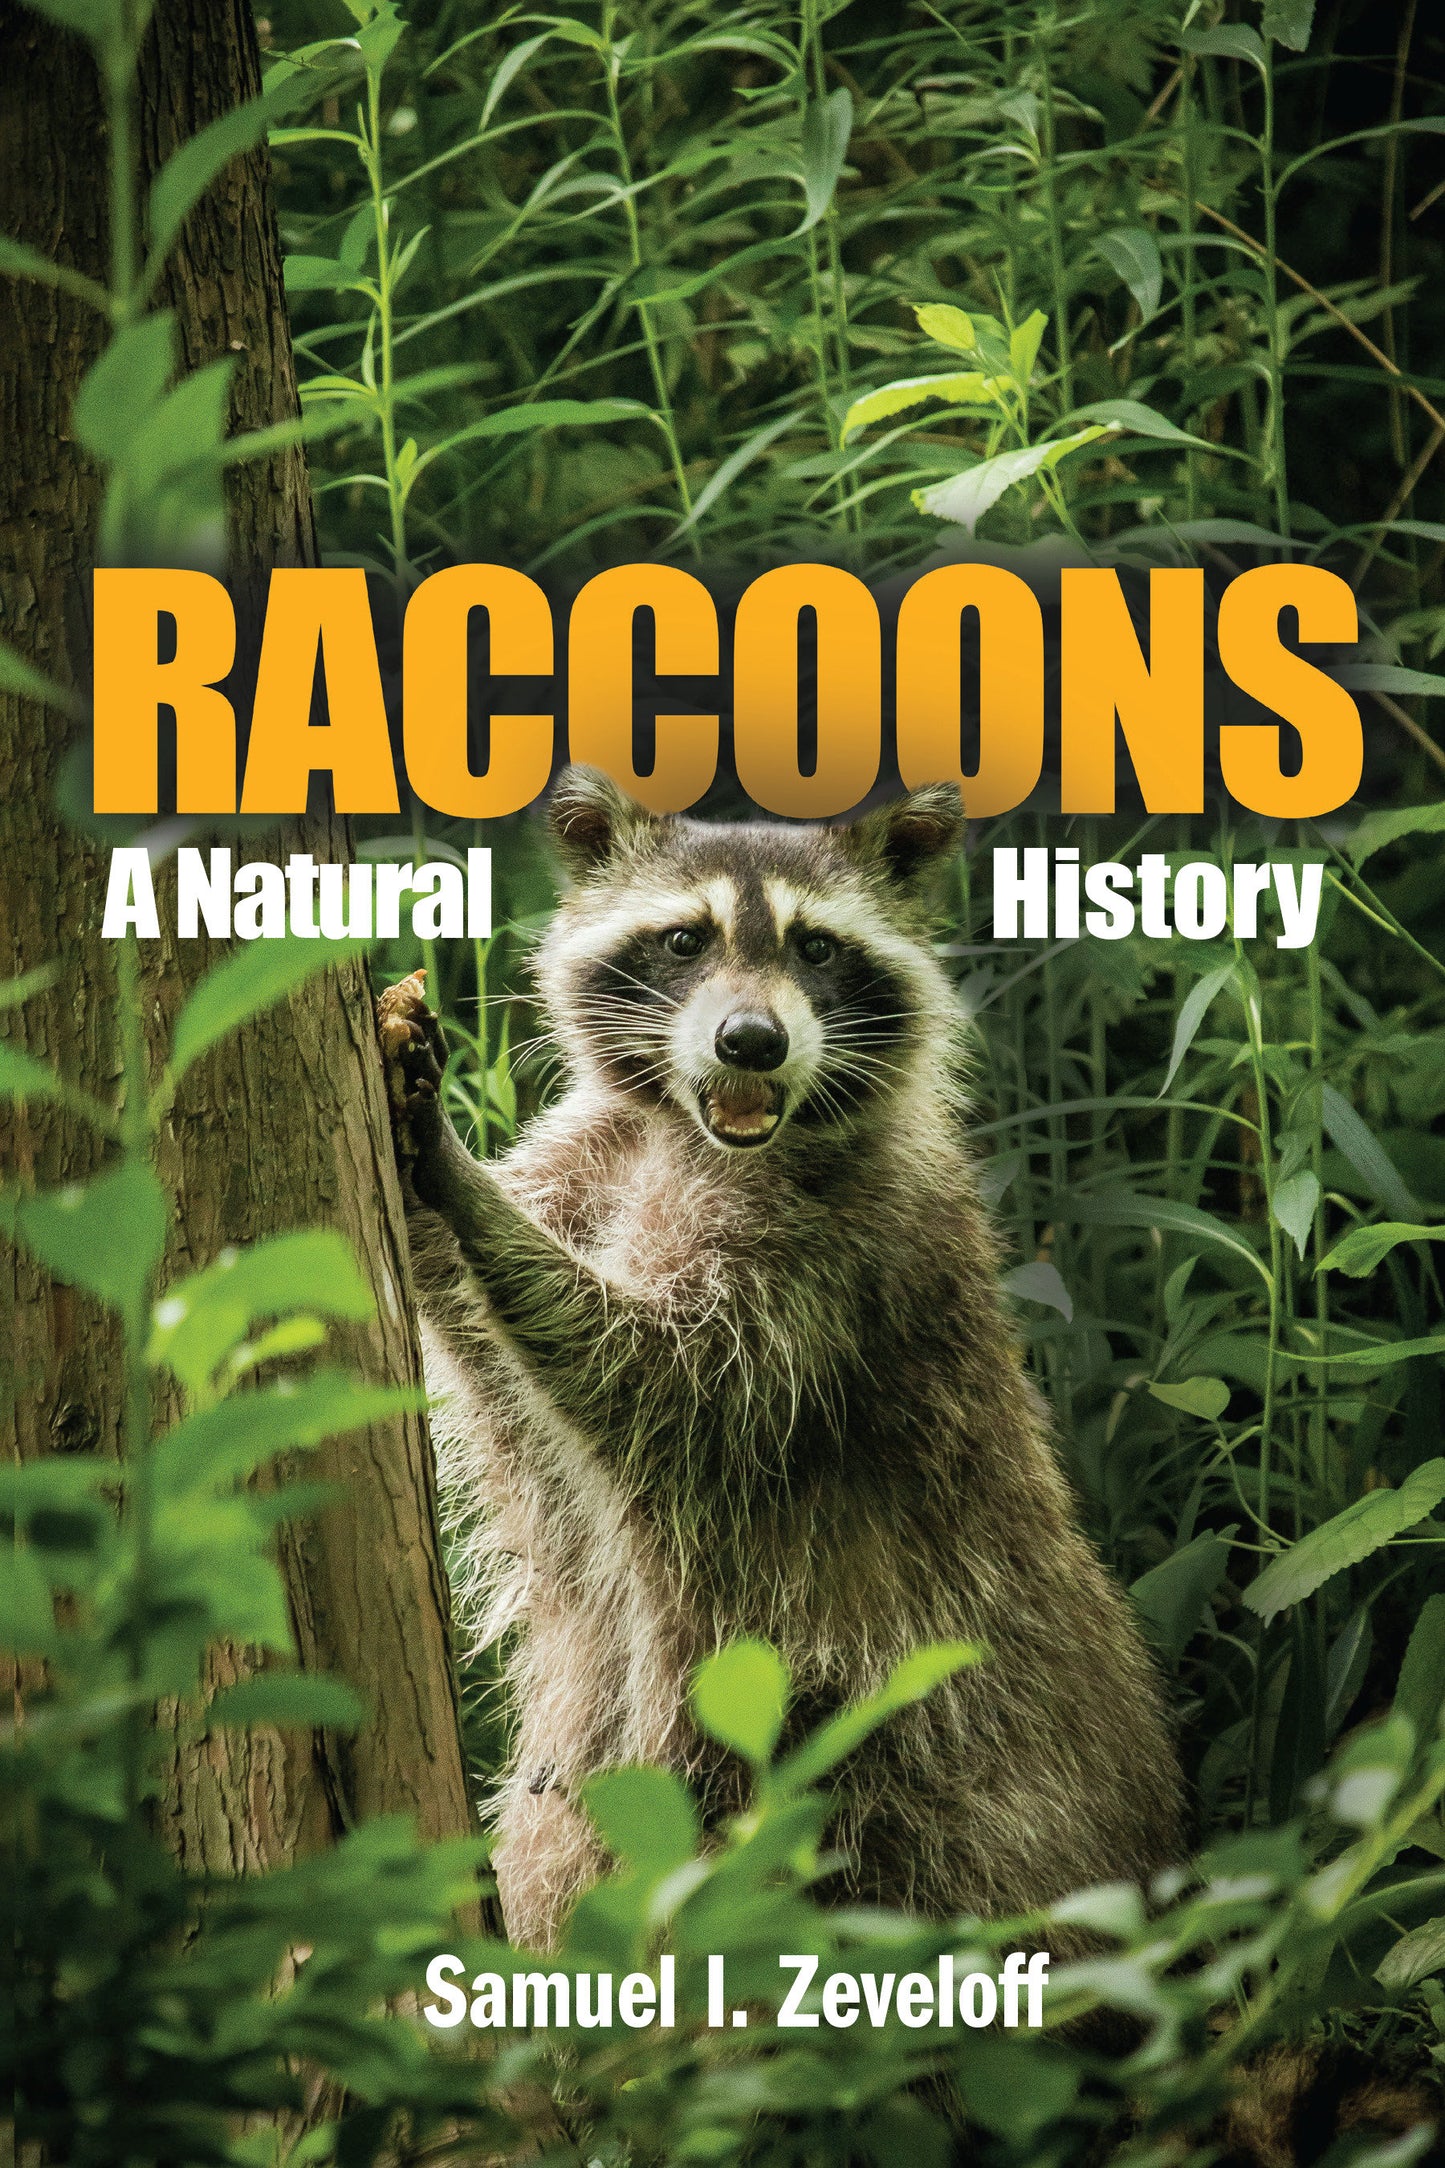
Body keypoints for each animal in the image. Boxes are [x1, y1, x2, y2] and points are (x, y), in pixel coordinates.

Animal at [378, 766, 1183, 1951]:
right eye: (683, 940)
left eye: (816, 948)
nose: (751, 1042)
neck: (687, 1131)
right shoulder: (596, 1159)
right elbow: (493, 1356)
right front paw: (436, 1196)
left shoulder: (836, 1257)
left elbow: (660, 1377)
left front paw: (455, 1179)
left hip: (927, 1754)